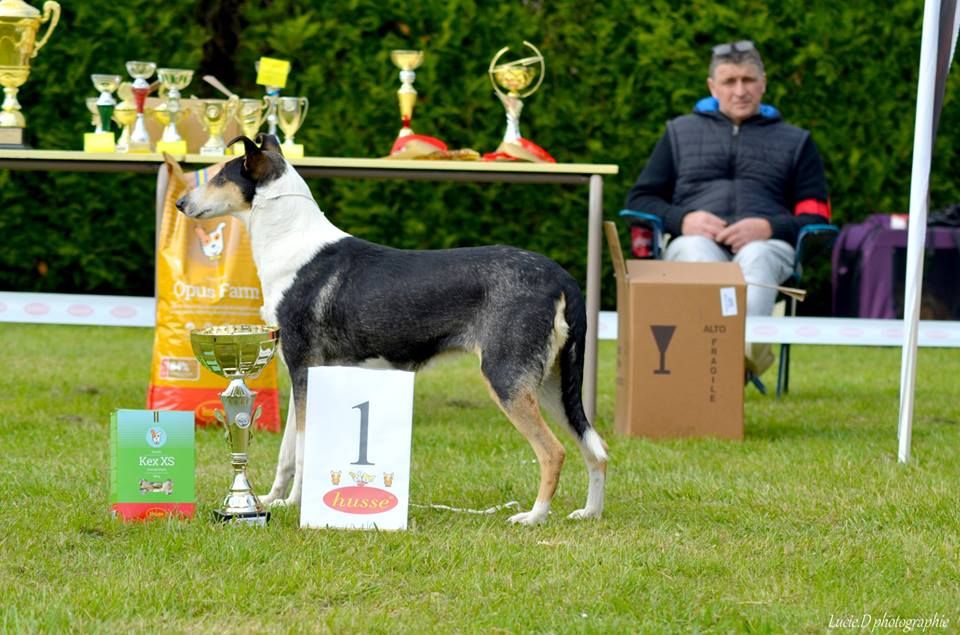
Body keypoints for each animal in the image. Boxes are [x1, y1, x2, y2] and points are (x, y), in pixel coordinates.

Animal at [174, 135, 608, 528]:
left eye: (220, 175)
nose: (180, 203)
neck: (289, 241)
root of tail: (559, 276)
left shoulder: (301, 364)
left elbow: (301, 447)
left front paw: (294, 506)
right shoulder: (304, 370)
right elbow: (287, 452)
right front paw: (271, 500)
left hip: (507, 377)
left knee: (554, 451)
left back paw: (533, 516)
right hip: (552, 384)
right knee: (596, 448)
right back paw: (589, 513)